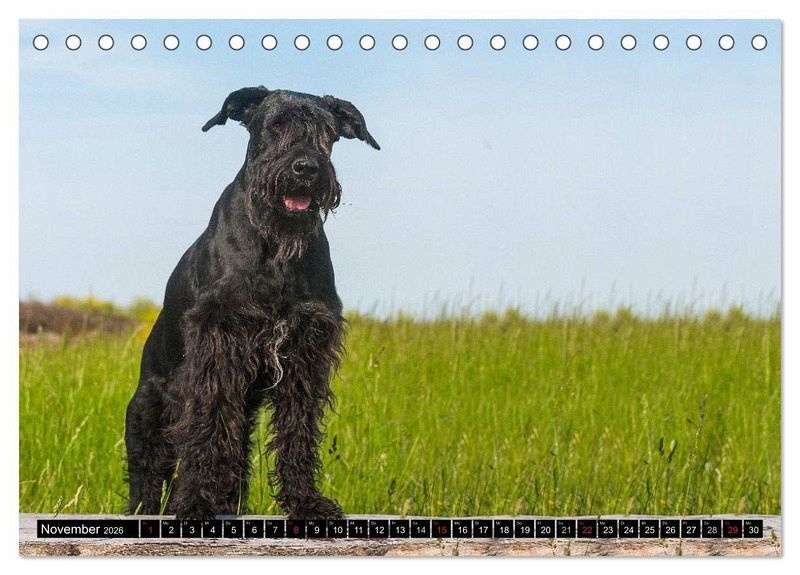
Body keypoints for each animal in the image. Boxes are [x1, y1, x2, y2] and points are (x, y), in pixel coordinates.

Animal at [125, 86, 379, 519]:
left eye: (328, 133)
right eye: (275, 125)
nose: (306, 168)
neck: (275, 248)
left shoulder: (304, 351)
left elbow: (296, 429)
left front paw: (305, 501)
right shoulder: (217, 343)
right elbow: (208, 427)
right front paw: (195, 502)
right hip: (146, 412)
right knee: (149, 478)